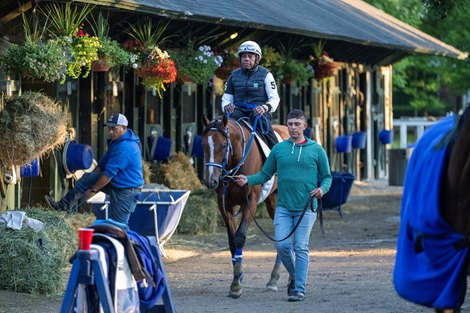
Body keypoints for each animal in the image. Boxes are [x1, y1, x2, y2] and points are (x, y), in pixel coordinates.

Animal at [202, 114, 290, 298]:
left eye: (223, 145)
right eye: (204, 144)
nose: (210, 181)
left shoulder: (250, 203)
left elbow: (240, 238)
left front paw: (236, 285)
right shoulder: (225, 205)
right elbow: (232, 242)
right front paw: (238, 275)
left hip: (277, 202)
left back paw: (275, 279)